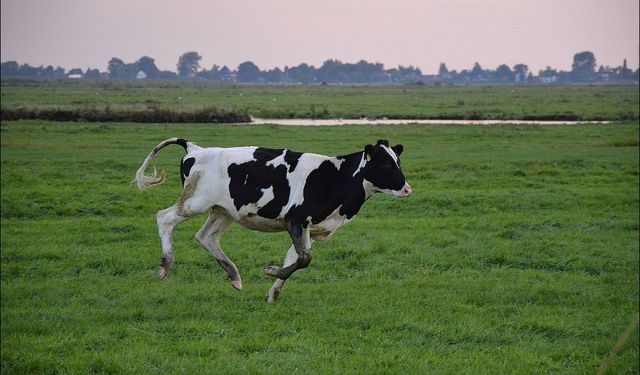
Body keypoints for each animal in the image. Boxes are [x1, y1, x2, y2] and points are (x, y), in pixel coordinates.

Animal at [136, 138, 416, 302]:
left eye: (398, 161)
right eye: (385, 165)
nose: (407, 189)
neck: (336, 177)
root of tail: (196, 149)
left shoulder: (309, 228)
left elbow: (295, 259)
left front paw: (274, 291)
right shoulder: (296, 219)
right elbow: (304, 260)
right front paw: (271, 271)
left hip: (223, 211)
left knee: (206, 237)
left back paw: (234, 276)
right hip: (196, 202)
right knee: (164, 218)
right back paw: (164, 266)